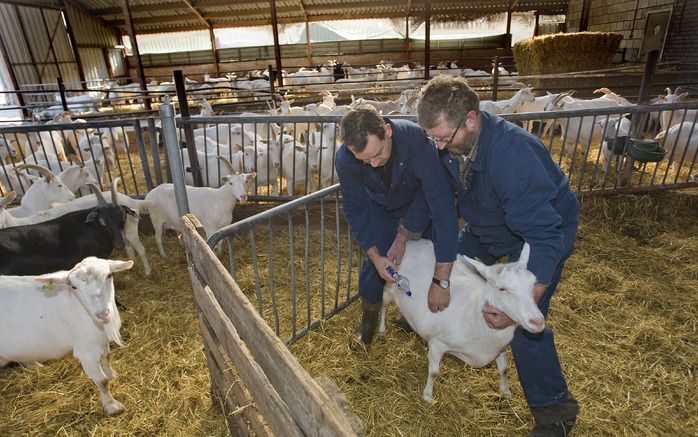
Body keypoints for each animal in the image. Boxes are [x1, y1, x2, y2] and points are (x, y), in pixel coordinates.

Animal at [0, 255, 135, 416]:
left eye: (109, 275)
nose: (103, 314)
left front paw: (113, 375)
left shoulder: (100, 342)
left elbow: (106, 358)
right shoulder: (86, 351)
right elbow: (102, 381)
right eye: (74, 287)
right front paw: (112, 406)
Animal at [378, 238, 540, 402]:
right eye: (502, 289)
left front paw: (505, 390)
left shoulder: (501, 347)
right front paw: (428, 396)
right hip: (389, 285)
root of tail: (412, 241)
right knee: (383, 306)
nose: (538, 321)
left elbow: (504, 369)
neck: (476, 315)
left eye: (533, 284)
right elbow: (434, 373)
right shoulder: (437, 343)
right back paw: (382, 329)